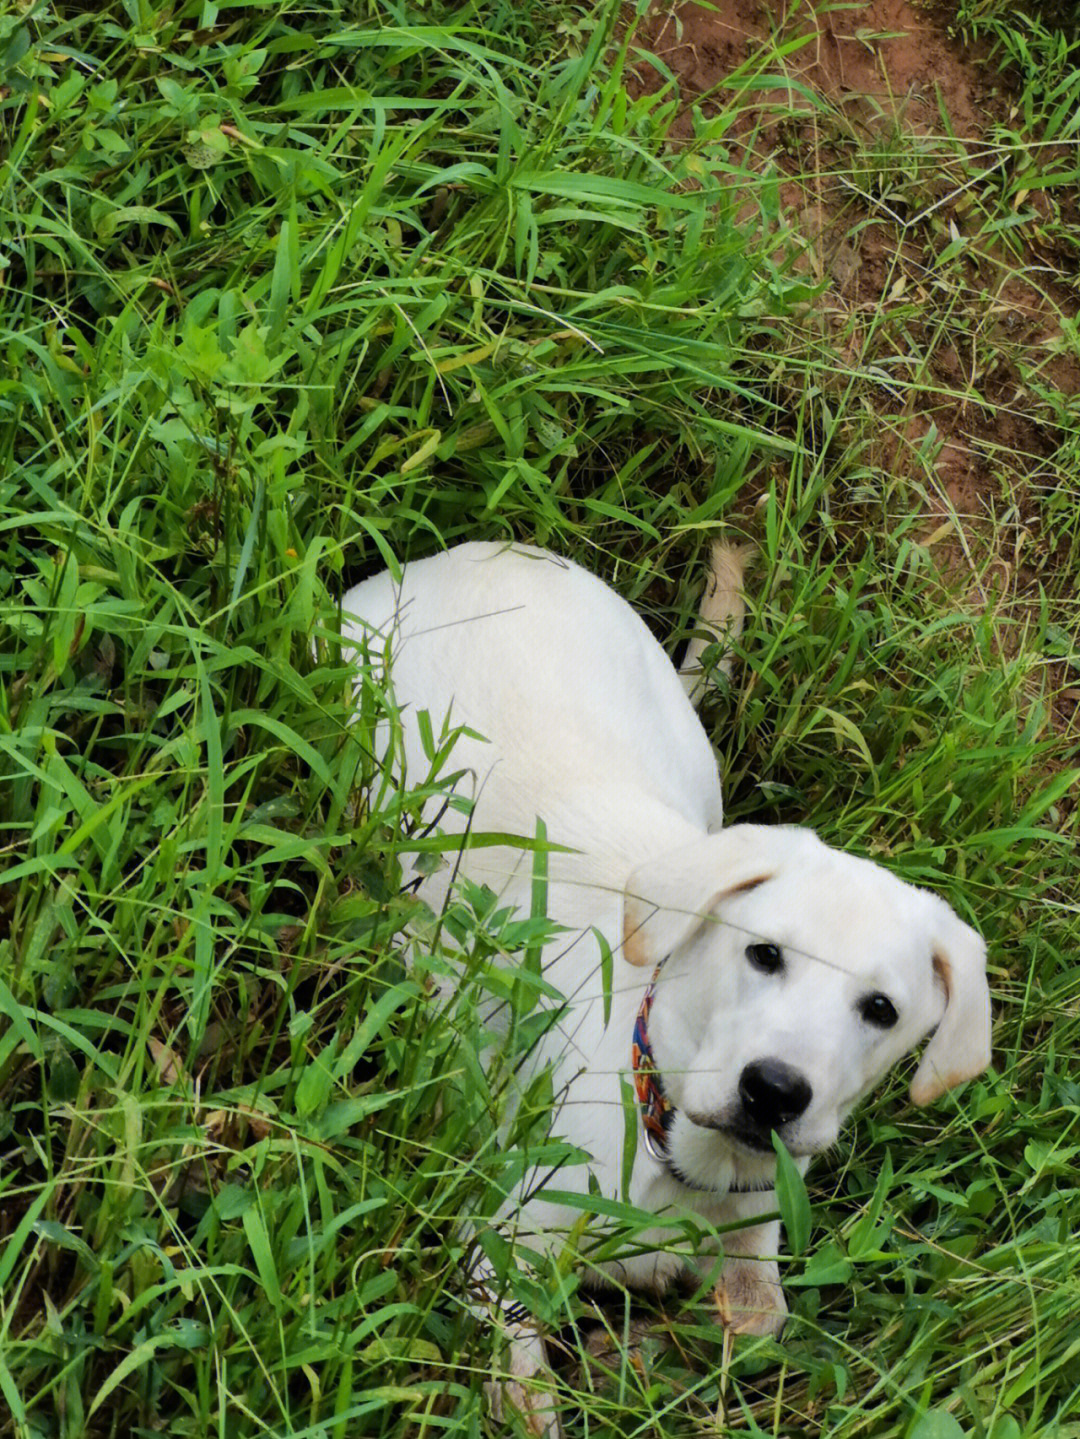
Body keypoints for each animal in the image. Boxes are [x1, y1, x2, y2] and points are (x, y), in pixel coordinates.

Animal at [342, 543, 995, 1433]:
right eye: (763, 953)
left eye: (882, 1009)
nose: (774, 1091)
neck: (683, 1157)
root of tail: (485, 552)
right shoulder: (502, 1242)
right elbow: (524, 1396)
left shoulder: (755, 1231)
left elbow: (759, 1321)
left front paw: (651, 1349)